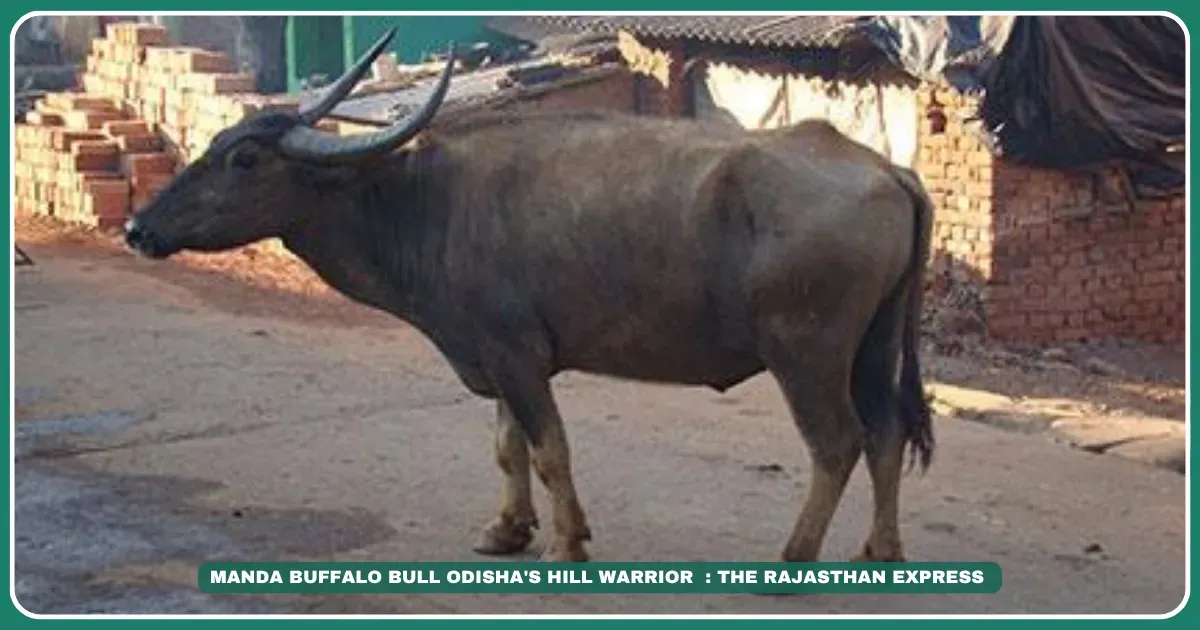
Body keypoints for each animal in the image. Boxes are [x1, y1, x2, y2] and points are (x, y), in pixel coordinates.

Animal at [125, 28, 936, 563]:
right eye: (218, 144)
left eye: (244, 158)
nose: (138, 226)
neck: (423, 204)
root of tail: (884, 169)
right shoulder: (493, 357)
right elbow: (506, 447)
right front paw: (506, 531)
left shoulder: (518, 357)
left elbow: (548, 450)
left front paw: (565, 542)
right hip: (871, 346)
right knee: (887, 431)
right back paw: (881, 550)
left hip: (806, 351)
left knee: (838, 441)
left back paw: (794, 555)